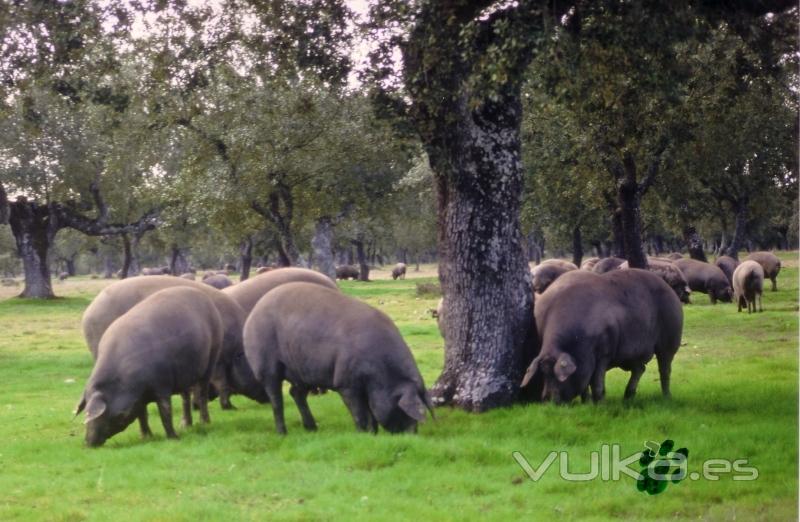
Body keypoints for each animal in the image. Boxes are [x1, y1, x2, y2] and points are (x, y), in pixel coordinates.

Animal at [242, 282, 432, 432]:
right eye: (404, 412)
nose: (412, 434)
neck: (382, 372)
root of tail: (252, 315)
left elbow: (370, 412)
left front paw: (373, 433)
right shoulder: (345, 383)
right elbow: (360, 413)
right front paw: (365, 433)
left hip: (302, 370)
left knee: (296, 393)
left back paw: (312, 428)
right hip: (266, 364)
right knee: (276, 399)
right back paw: (283, 433)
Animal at [520, 268, 684, 402]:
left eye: (557, 375)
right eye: (544, 373)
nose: (546, 399)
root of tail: (669, 289)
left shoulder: (604, 353)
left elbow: (596, 382)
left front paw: (599, 403)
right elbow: (586, 383)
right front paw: (586, 403)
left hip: (671, 338)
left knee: (665, 368)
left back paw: (667, 397)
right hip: (631, 353)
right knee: (640, 368)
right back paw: (627, 397)